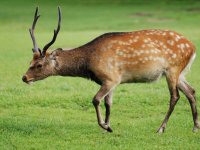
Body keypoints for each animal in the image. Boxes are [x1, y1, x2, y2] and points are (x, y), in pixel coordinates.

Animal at [22, 6, 198, 134]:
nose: (24, 77)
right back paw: (195, 127)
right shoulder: (111, 81)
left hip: (173, 69)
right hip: (179, 73)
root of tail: (193, 47)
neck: (89, 63)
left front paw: (105, 126)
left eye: (39, 65)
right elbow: (108, 103)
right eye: (30, 61)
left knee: (175, 96)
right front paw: (108, 126)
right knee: (191, 91)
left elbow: (96, 100)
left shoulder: (111, 77)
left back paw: (161, 128)